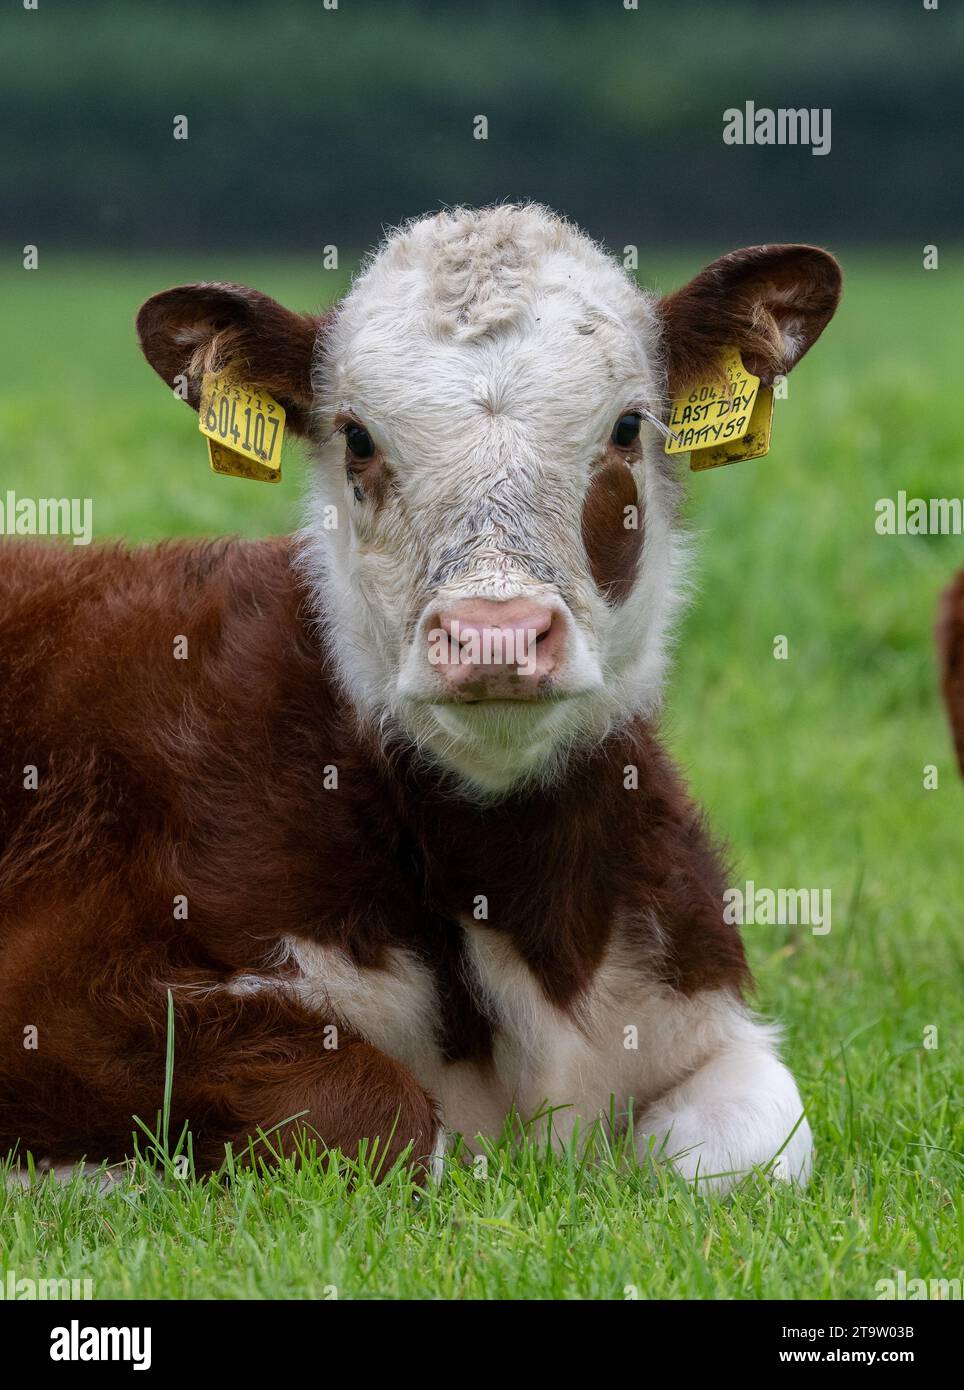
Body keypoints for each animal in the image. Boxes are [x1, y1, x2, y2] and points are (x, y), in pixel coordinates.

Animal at [0, 205, 841, 1190]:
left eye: (630, 425)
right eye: (359, 437)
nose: (495, 633)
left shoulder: (695, 1003)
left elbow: (757, 1141)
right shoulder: (62, 992)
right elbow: (383, 1121)